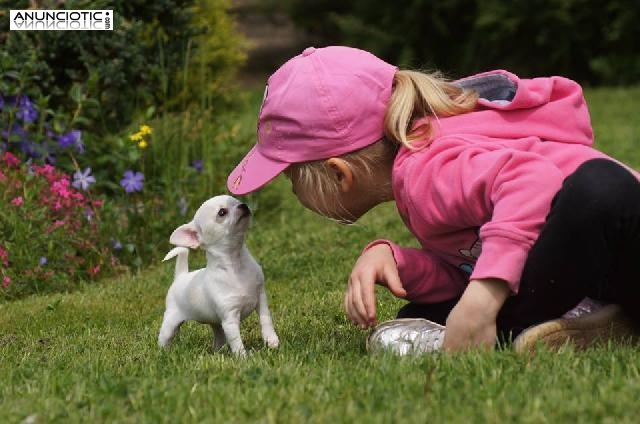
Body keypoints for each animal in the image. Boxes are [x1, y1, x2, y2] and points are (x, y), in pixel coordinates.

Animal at [158, 196, 278, 358]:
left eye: (236, 201)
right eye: (222, 212)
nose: (243, 205)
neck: (236, 263)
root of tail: (181, 276)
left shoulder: (260, 298)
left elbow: (265, 319)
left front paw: (271, 339)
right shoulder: (230, 320)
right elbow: (236, 341)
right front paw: (243, 358)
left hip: (216, 323)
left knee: (219, 337)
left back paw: (217, 351)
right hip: (170, 322)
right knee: (165, 337)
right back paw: (162, 353)